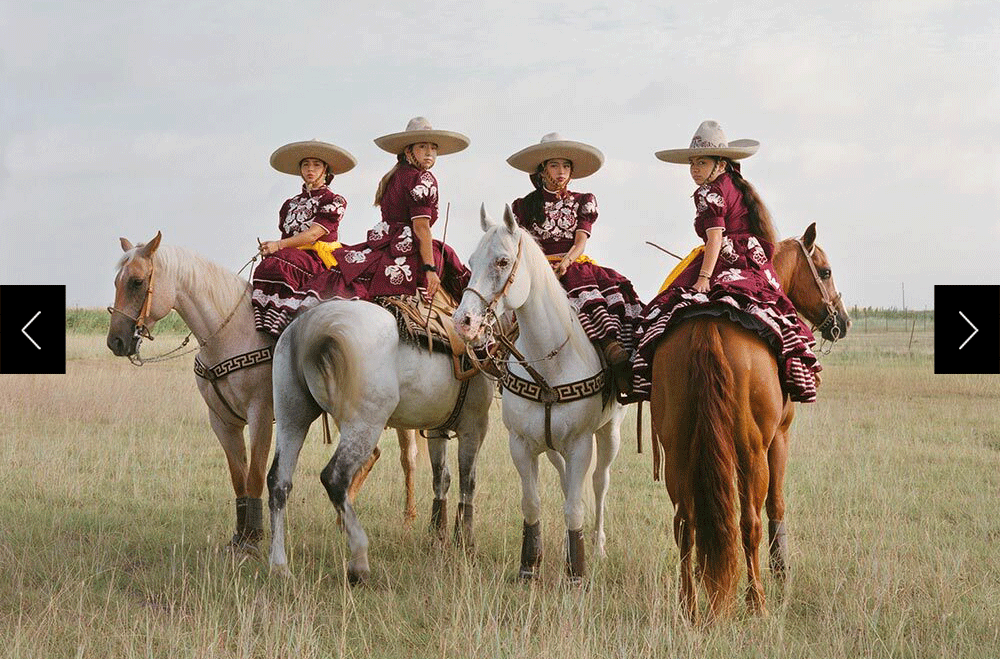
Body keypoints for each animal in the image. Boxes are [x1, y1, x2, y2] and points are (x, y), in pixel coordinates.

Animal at [107, 232, 420, 552]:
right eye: (117, 281)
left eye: (137, 282)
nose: (116, 341)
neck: (230, 334)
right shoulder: (222, 421)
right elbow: (239, 478)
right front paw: (240, 537)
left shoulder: (261, 414)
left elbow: (255, 475)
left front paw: (254, 541)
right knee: (370, 456)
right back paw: (342, 520)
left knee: (407, 458)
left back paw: (407, 521)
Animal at [266, 294, 492, 584]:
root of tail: (316, 327)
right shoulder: (475, 428)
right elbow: (467, 483)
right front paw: (466, 543)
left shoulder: (436, 429)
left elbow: (442, 478)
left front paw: (438, 537)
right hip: (364, 424)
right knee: (335, 477)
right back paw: (359, 562)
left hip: (291, 416)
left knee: (278, 482)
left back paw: (279, 566)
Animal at [454, 208, 624, 584]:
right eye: (471, 260)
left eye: (502, 261)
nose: (463, 322)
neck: (550, 363)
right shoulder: (521, 445)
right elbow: (532, 504)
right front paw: (529, 565)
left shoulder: (580, 445)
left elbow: (576, 506)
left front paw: (576, 573)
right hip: (551, 447)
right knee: (564, 482)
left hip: (609, 434)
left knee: (599, 484)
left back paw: (598, 546)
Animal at [648, 224, 852, 620]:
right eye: (825, 272)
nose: (843, 321)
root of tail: (708, 327)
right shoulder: (780, 438)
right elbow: (776, 505)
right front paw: (781, 570)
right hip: (751, 450)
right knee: (749, 522)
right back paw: (756, 599)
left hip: (678, 450)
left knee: (684, 523)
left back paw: (689, 604)